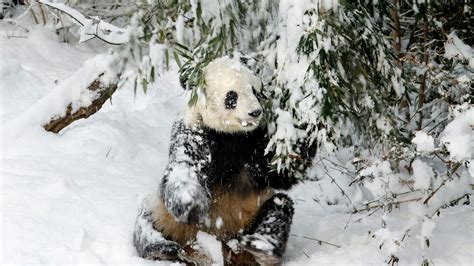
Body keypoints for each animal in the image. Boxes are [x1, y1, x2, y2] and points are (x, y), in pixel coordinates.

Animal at [132, 56, 304, 264]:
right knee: (146, 224)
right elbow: (184, 167)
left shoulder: (254, 141)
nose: (255, 112)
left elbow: (279, 172)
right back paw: (161, 249)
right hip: (162, 214)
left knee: (280, 208)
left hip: (252, 218)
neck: (230, 136)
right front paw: (192, 204)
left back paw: (262, 249)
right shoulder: (195, 132)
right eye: (232, 96)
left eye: (256, 91)